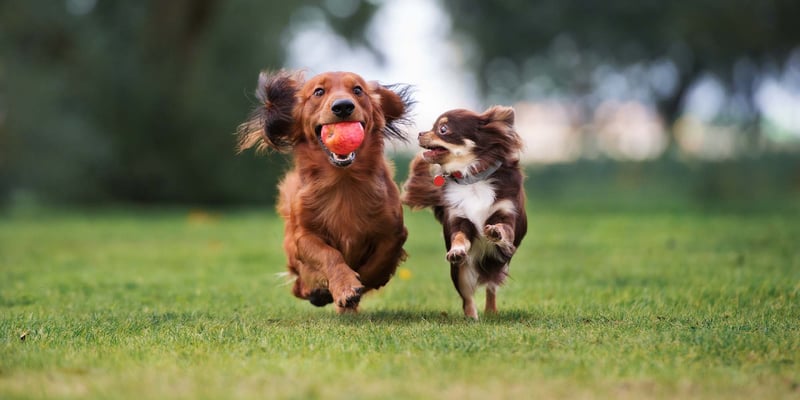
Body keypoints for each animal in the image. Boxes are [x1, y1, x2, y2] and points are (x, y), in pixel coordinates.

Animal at [236, 70, 412, 314]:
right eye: (319, 91)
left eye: (358, 90)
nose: (343, 106)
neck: (343, 181)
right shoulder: (304, 236)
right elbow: (329, 255)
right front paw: (345, 286)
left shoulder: (394, 231)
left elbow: (380, 260)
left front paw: (362, 282)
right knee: (299, 285)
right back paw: (317, 291)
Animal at [404, 106, 528, 318]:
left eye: (443, 129)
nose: (420, 133)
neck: (472, 179)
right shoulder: (459, 219)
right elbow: (459, 237)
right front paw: (457, 250)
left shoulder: (507, 213)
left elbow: (504, 228)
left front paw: (495, 231)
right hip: (460, 273)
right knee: (467, 298)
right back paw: (472, 318)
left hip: (499, 264)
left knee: (491, 287)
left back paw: (491, 311)